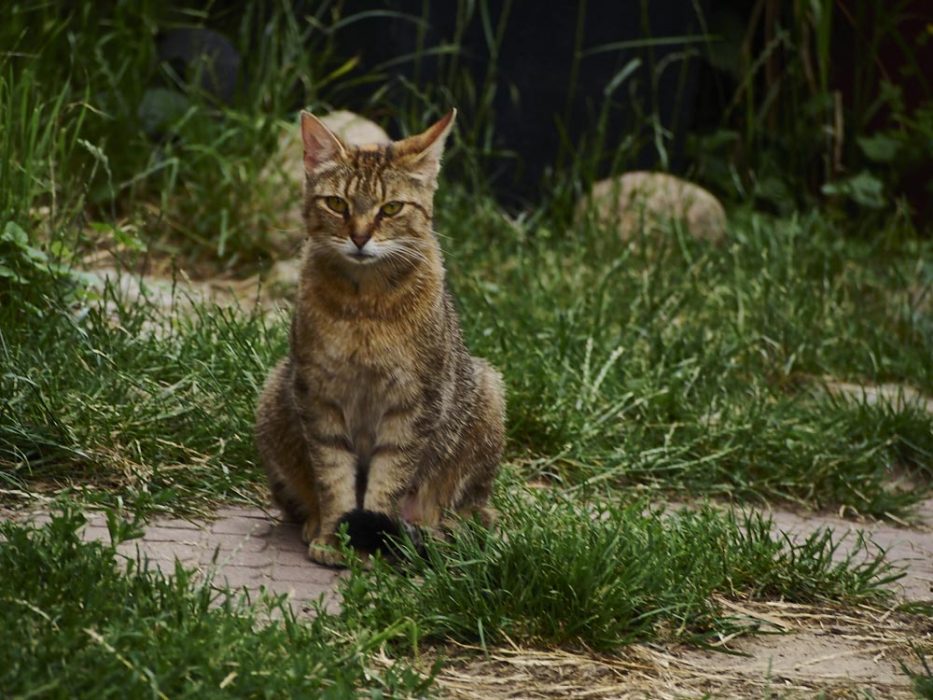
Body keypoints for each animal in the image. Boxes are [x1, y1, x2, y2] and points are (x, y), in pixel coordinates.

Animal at [253, 110, 502, 568]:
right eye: (337, 204)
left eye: (391, 208)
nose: (360, 236)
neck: (364, 307)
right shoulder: (318, 397)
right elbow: (333, 477)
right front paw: (334, 536)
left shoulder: (414, 404)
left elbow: (388, 481)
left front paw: (372, 542)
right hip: (274, 395)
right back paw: (314, 522)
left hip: (488, 395)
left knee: (465, 509)